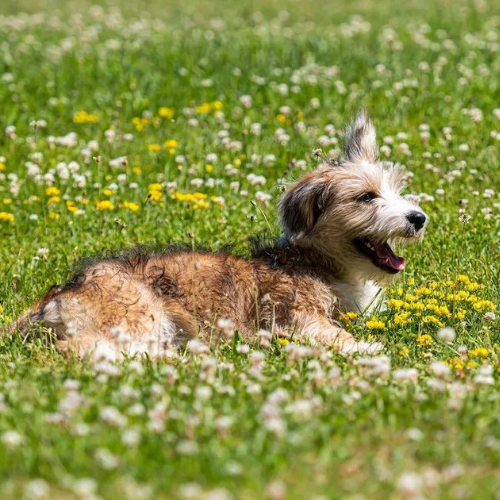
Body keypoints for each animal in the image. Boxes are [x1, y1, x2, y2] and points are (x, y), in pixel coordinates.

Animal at [9, 111, 428, 358]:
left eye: (395, 189)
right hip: (137, 315)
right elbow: (340, 338)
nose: (419, 217)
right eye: (366, 196)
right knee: (78, 349)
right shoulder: (296, 320)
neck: (319, 263)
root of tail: (50, 303)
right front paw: (372, 349)